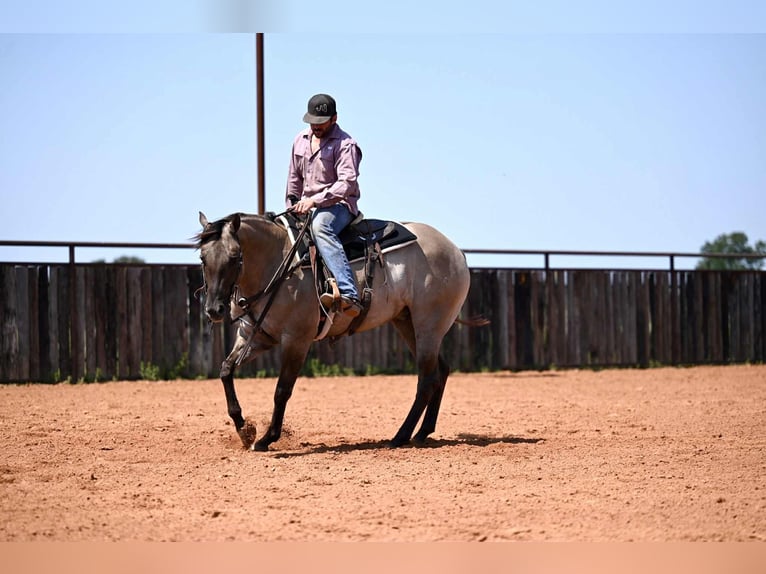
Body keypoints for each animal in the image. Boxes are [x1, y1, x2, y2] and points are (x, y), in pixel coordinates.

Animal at [195, 211, 480, 451]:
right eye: (202, 258)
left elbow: (282, 390)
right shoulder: (256, 337)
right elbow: (225, 370)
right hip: (407, 323)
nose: (214, 310)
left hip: (427, 326)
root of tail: (456, 251)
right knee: (440, 372)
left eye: (235, 257)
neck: (278, 263)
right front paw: (245, 430)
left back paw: (400, 436)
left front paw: (267, 439)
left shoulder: (296, 340)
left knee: (426, 379)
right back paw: (422, 433)